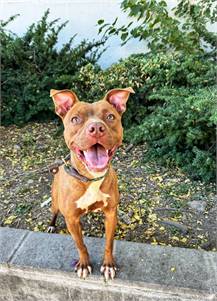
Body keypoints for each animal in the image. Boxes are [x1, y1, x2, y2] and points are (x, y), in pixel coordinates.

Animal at [48, 86, 135, 278]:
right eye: (75, 119)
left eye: (110, 117)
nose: (96, 128)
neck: (90, 178)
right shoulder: (71, 219)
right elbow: (80, 245)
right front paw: (83, 264)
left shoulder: (111, 213)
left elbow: (109, 243)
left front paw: (109, 265)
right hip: (56, 202)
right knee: (54, 212)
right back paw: (51, 226)